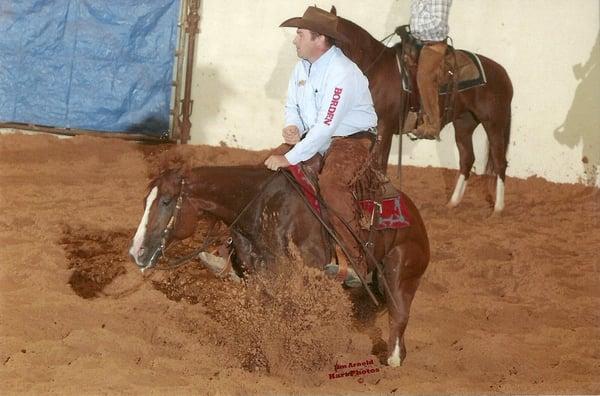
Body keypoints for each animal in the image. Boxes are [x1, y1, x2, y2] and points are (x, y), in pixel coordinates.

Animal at [130, 166, 432, 366]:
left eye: (166, 201)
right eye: (145, 201)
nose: (136, 252)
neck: (262, 208)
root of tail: (413, 214)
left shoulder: (298, 282)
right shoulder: (259, 278)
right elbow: (262, 320)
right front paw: (257, 360)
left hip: (400, 272)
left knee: (398, 315)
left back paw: (393, 359)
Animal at [330, 7, 512, 212]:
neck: (375, 71)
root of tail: (502, 73)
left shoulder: (384, 126)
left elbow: (379, 164)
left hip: (494, 123)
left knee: (499, 161)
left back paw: (497, 208)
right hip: (464, 124)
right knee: (467, 159)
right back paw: (452, 203)